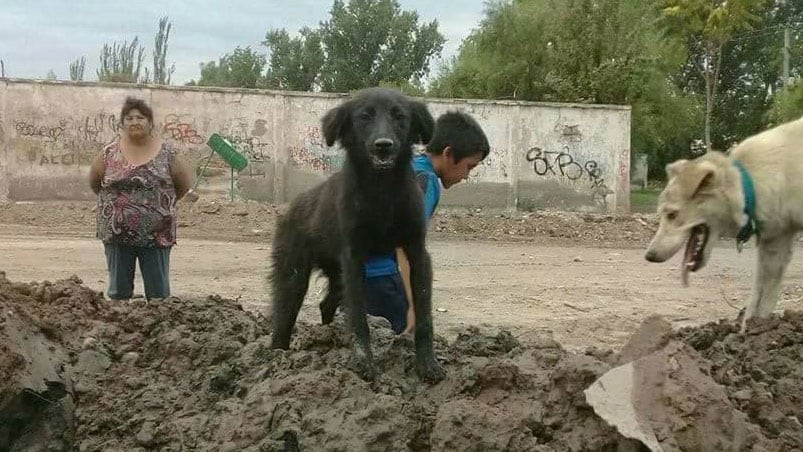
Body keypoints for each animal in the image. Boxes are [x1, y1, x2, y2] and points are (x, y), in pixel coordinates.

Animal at [270, 87, 446, 382]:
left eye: (400, 116)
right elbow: (359, 318)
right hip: (293, 277)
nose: (383, 144)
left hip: (336, 274)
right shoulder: (353, 258)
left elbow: (424, 315)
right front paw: (364, 362)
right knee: (283, 317)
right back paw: (276, 357)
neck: (382, 191)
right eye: (365, 117)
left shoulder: (417, 253)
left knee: (326, 304)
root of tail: (294, 206)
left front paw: (427, 364)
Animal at [644, 115, 803, 328]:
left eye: (672, 215)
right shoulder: (776, 241)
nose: (649, 256)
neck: (749, 186)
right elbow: (760, 299)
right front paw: (751, 329)